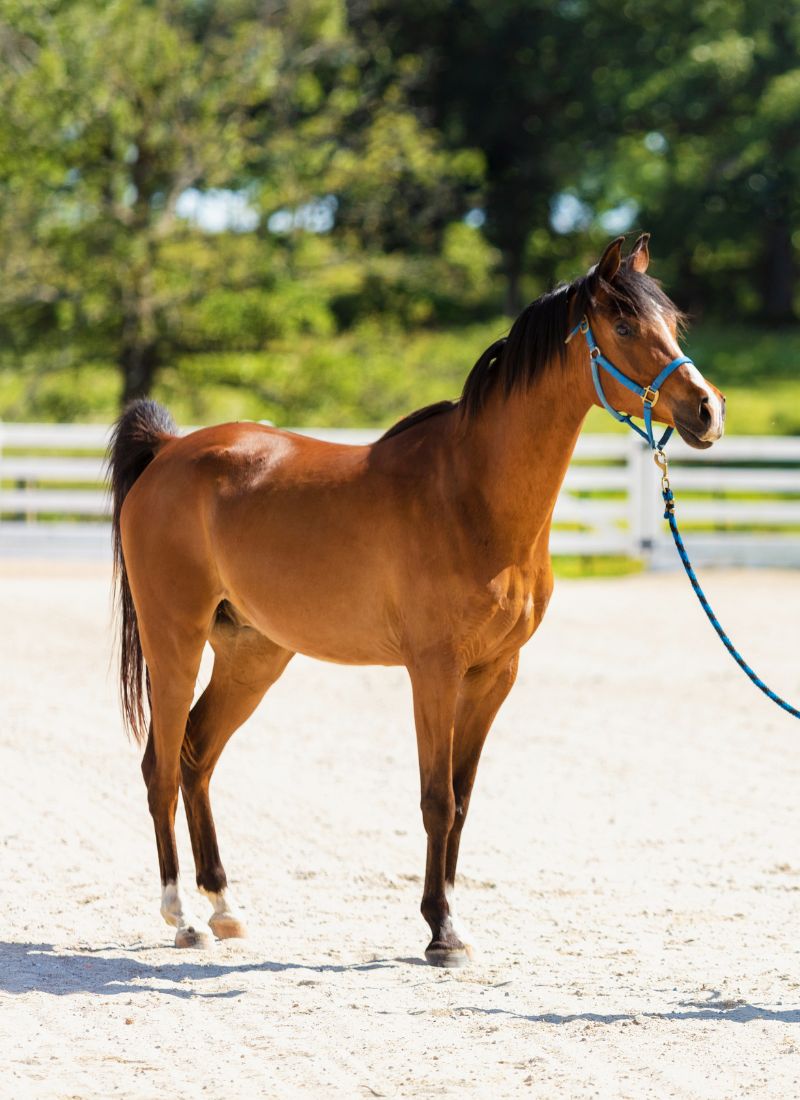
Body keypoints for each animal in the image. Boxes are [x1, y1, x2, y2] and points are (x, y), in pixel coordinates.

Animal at [106, 236, 726, 968]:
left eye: (674, 323)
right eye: (625, 326)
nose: (708, 411)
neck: (473, 496)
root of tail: (170, 451)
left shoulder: (495, 674)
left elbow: (462, 798)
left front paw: (449, 917)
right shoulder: (433, 671)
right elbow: (436, 799)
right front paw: (441, 932)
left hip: (252, 655)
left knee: (197, 756)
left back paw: (225, 908)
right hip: (175, 640)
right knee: (160, 765)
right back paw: (183, 919)